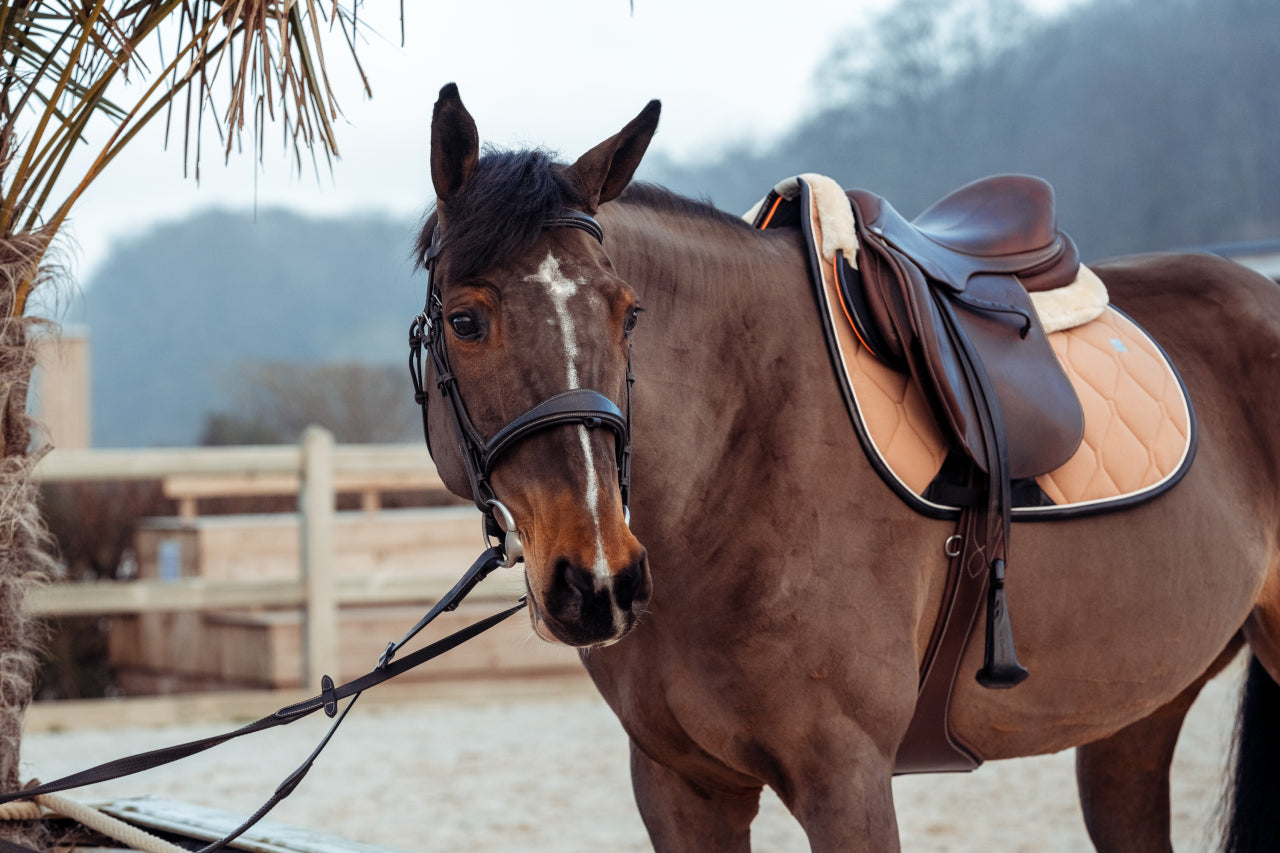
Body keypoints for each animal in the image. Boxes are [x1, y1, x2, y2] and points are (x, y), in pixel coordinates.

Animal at [412, 81, 1280, 850]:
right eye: (465, 320)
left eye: (628, 313)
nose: (599, 580)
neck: (729, 470)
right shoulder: (682, 787)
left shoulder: (846, 779)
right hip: (1138, 709)